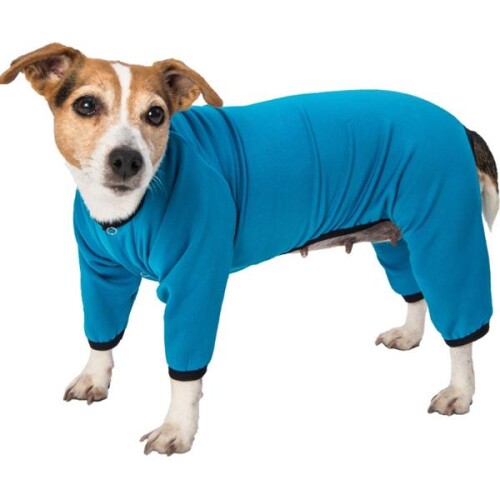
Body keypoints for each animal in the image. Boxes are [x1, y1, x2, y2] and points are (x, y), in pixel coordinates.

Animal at [0, 43, 497, 456]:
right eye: (86, 105)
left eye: (156, 114)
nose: (127, 159)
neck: (129, 209)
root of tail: (456, 123)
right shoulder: (100, 275)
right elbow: (101, 334)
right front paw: (94, 377)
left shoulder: (194, 282)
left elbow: (184, 371)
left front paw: (178, 428)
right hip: (397, 237)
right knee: (417, 292)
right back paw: (409, 334)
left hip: (444, 230)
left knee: (461, 328)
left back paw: (460, 391)